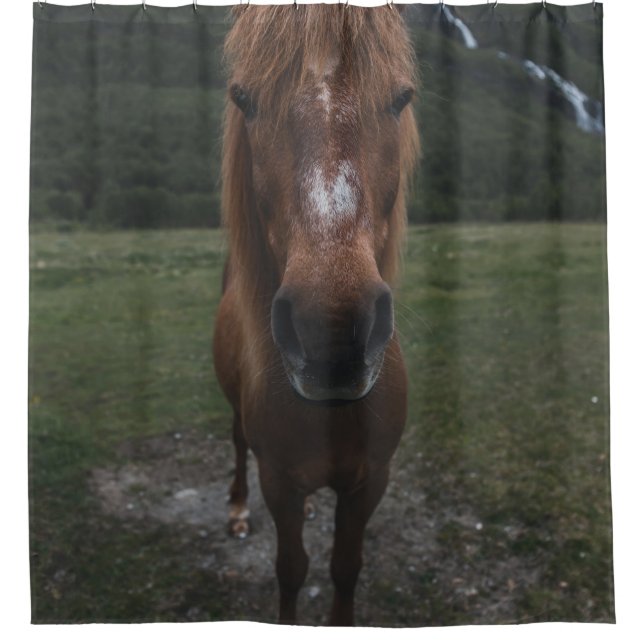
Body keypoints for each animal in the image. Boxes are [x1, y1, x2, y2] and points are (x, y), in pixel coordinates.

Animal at [213, 5, 418, 626]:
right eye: (245, 99)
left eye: (401, 97)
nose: (332, 333)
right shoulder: (279, 482)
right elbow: (291, 569)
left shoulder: (369, 482)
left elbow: (345, 567)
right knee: (235, 442)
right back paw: (236, 510)